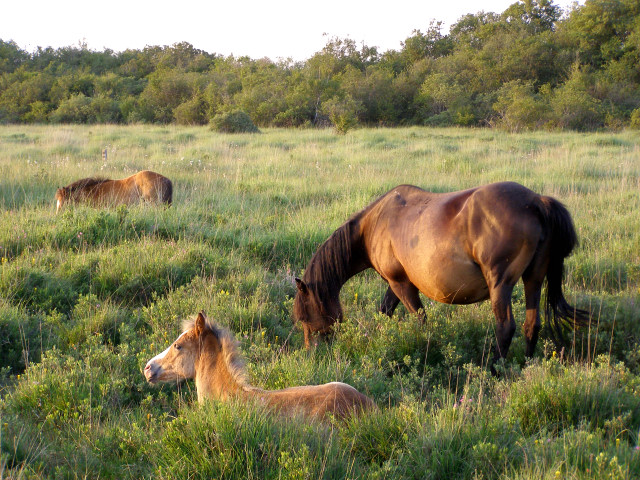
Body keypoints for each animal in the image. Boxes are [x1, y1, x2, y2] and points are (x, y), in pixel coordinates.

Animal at [294, 182, 592, 374]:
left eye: (304, 318)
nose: (311, 356)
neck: (373, 224)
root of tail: (536, 202)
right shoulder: (397, 284)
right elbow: (385, 312)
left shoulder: (401, 284)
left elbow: (420, 320)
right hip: (533, 279)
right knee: (532, 325)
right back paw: (526, 366)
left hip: (501, 284)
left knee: (505, 327)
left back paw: (493, 370)